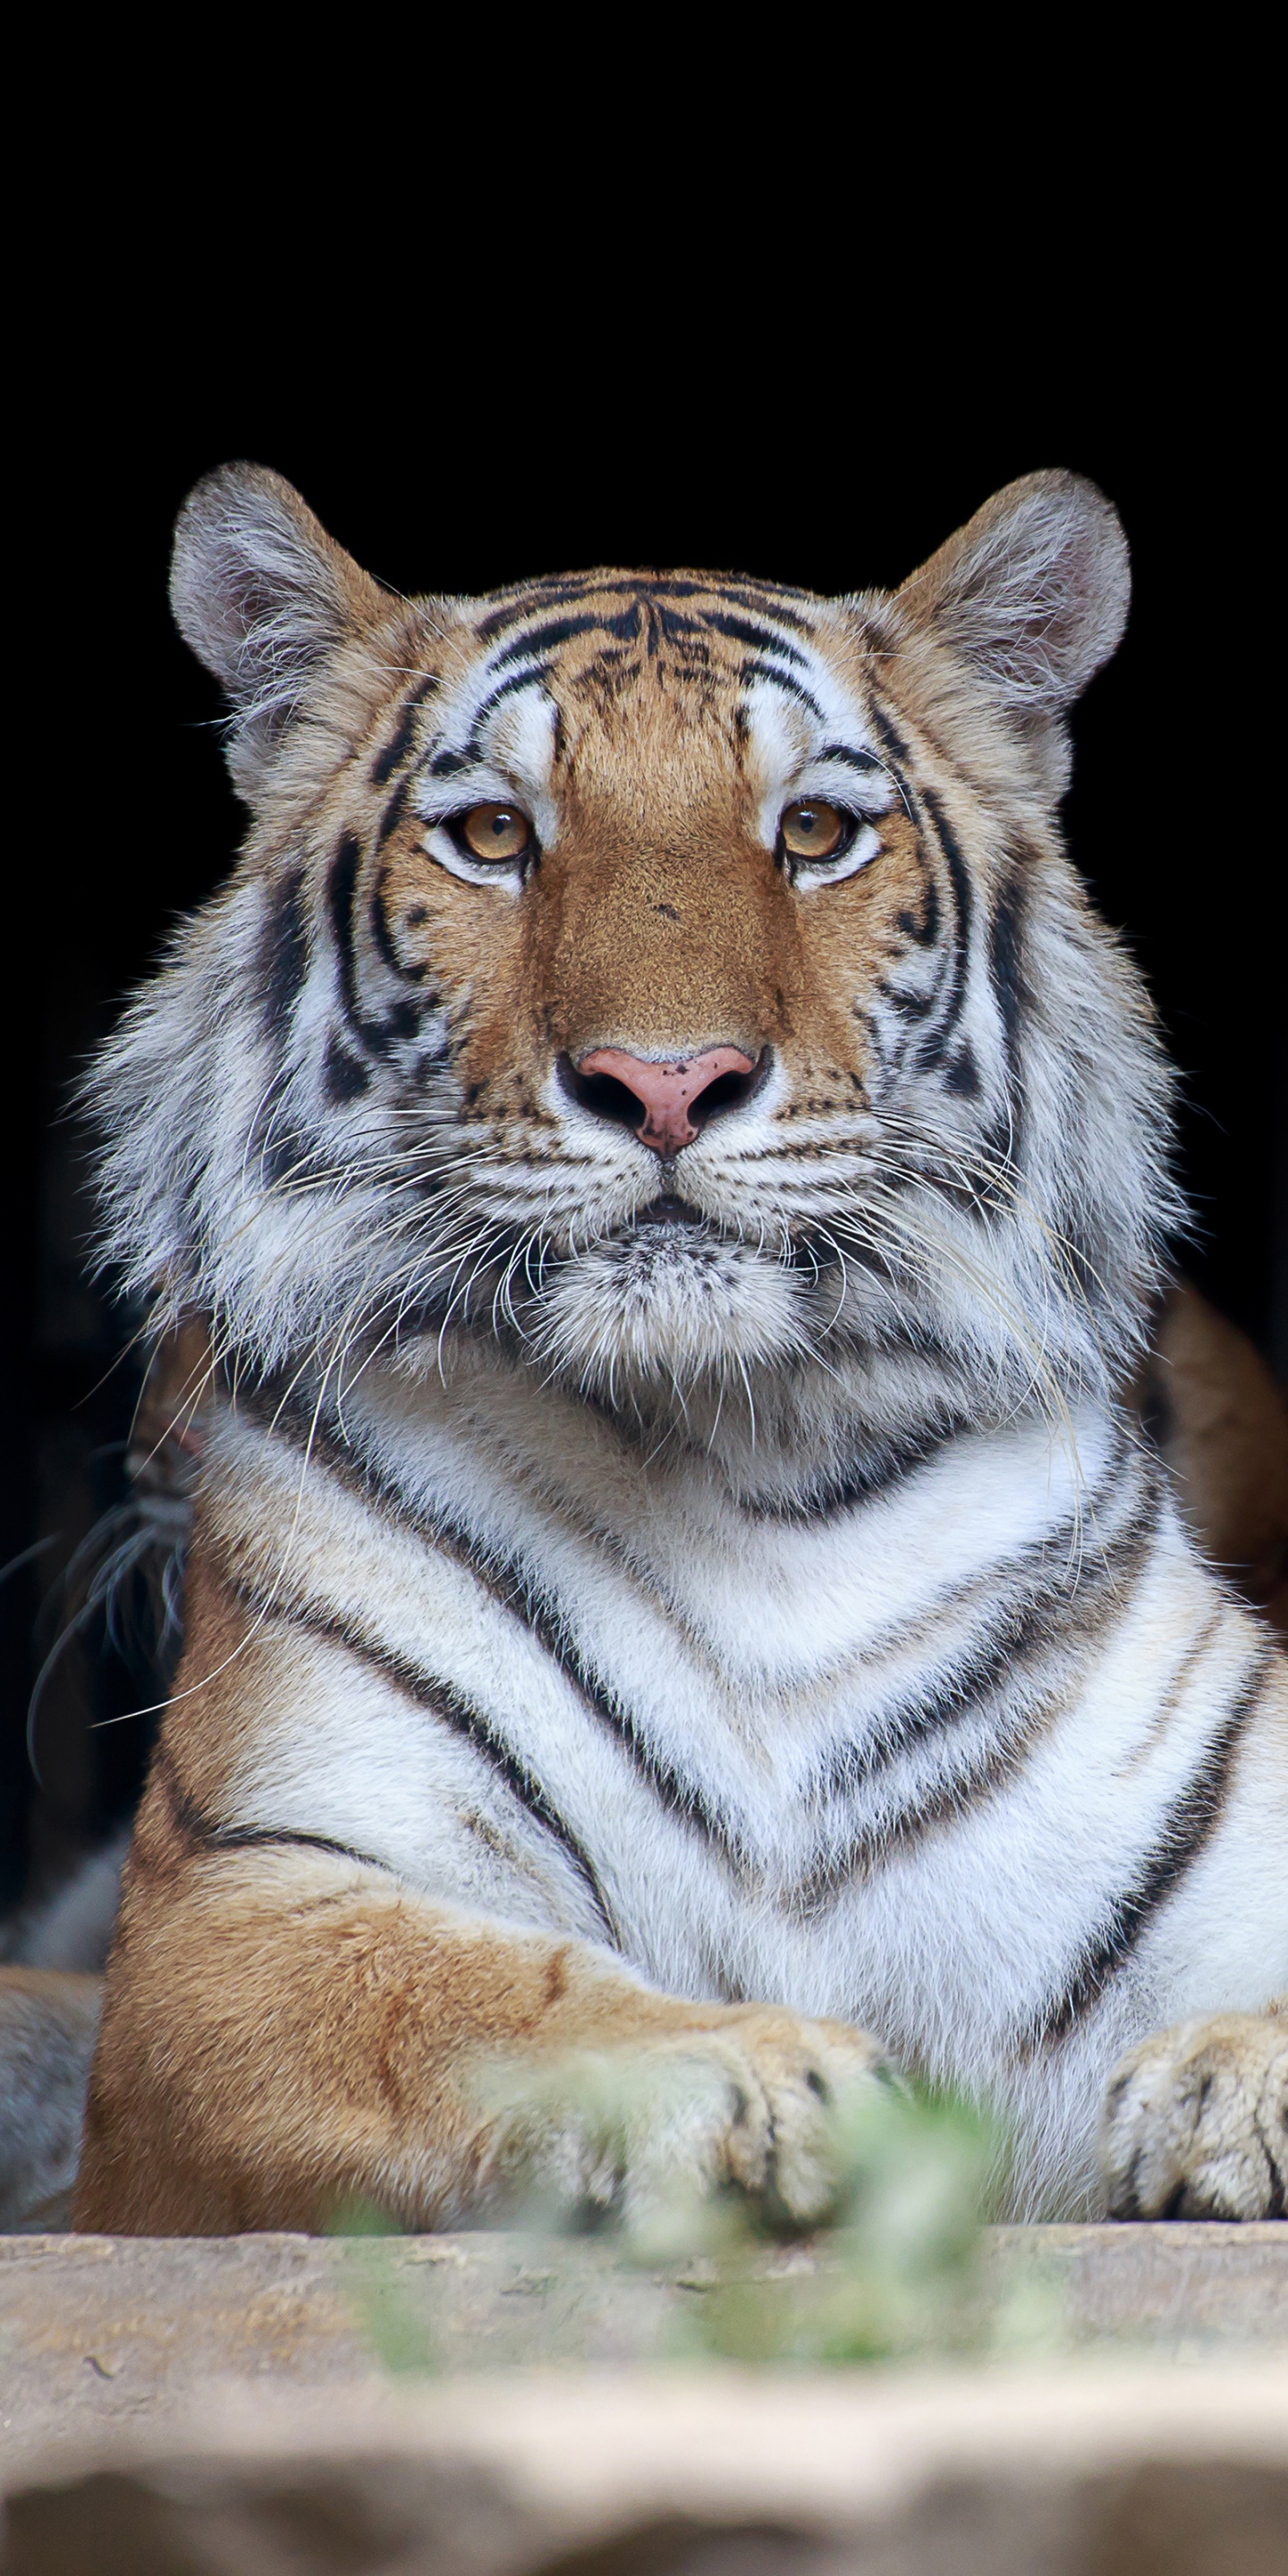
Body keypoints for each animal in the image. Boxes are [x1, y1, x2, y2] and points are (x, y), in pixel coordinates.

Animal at [66, 464, 1285, 2235]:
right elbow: (464, 1999)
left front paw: (1222, 2088)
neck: (744, 1455)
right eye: (495, 835)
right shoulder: (233, 1906)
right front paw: (764, 2076)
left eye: (816, 833)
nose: (664, 1080)